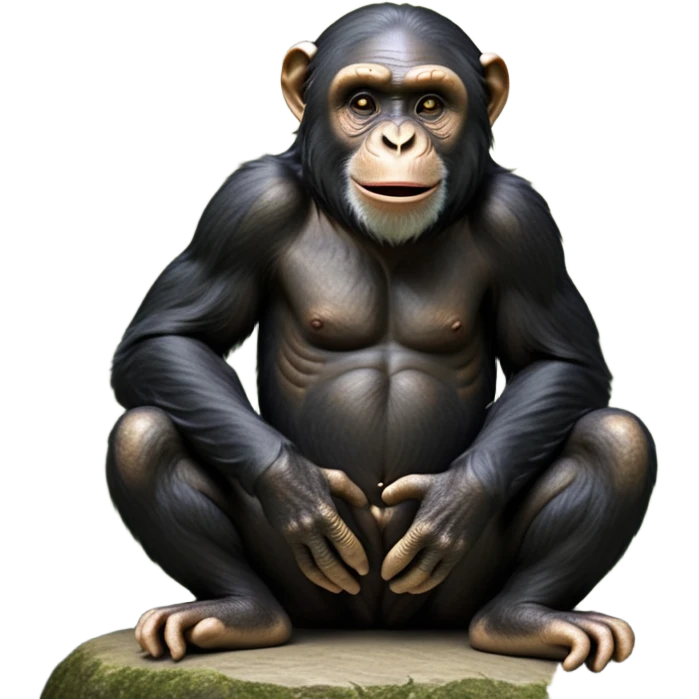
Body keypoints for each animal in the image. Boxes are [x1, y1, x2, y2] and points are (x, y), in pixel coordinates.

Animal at [105, 1, 658, 674]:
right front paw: (299, 492)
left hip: (446, 595)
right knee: (143, 434)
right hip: (311, 591)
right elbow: (169, 340)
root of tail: (375, 625)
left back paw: (524, 621)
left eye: (429, 105)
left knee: (617, 440)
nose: (398, 140)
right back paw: (238, 613)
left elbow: (561, 362)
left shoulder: (522, 220)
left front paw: (454, 502)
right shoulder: (245, 205)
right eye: (364, 103)